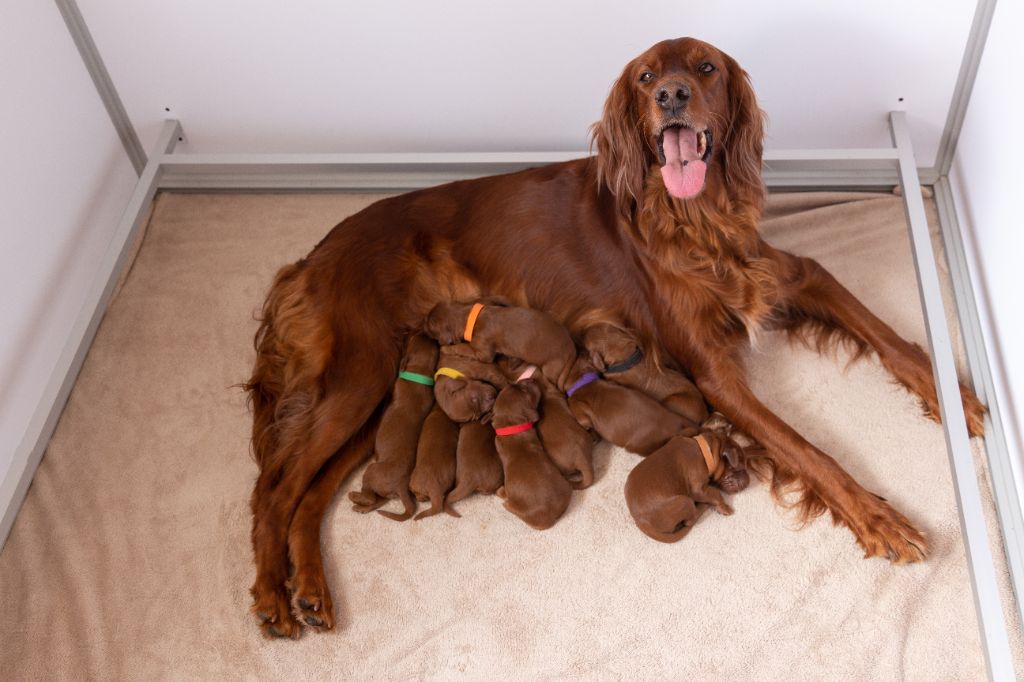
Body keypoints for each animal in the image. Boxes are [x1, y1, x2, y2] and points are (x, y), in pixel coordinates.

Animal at [350, 331, 438, 518]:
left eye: (411, 340)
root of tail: (400, 487)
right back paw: (360, 507)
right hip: (383, 492)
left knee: (370, 497)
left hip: (371, 471)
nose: (422, 331)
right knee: (376, 502)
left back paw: (354, 496)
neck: (419, 372)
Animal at [421, 301, 577, 391]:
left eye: (428, 324)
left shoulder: (482, 352)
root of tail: (571, 347)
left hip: (551, 367)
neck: (469, 318)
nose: (421, 323)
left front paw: (446, 349)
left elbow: (463, 347)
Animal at [489, 378, 573, 528]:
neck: (512, 427)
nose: (531, 379)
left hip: (515, 506)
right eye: (517, 386)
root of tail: (552, 517)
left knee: (507, 502)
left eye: (523, 389)